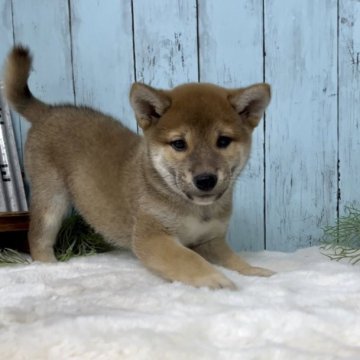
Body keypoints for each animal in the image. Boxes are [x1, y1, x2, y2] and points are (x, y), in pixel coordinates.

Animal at [4, 46, 272, 288]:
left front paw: (256, 271)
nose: (205, 180)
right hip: (51, 199)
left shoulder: (211, 240)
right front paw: (215, 280)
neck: (195, 209)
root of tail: (48, 111)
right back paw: (50, 267)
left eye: (223, 141)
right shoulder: (152, 236)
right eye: (179, 144)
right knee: (37, 238)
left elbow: (235, 261)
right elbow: (188, 260)